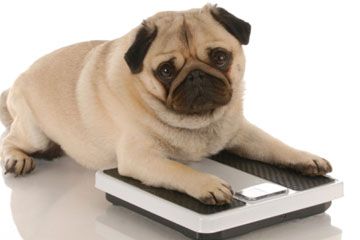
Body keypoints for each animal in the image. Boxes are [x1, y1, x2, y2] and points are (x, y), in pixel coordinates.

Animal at [0, 4, 332, 204]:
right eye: (166, 71)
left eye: (220, 57)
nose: (196, 75)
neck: (198, 123)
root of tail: (20, 77)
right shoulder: (140, 158)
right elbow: (179, 170)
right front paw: (207, 183)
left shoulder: (241, 132)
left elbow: (275, 145)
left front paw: (305, 158)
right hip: (33, 132)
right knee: (10, 140)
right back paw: (18, 159)